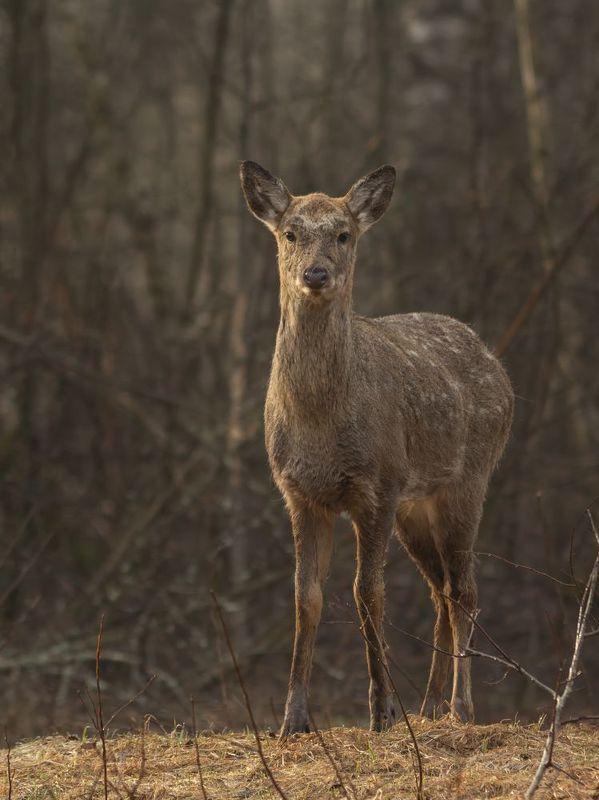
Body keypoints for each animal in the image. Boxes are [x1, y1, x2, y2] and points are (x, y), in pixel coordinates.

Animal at [239, 160, 513, 739]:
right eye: (290, 233)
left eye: (343, 234)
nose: (316, 274)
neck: (321, 423)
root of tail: (494, 362)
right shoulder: (299, 493)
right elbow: (306, 597)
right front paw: (292, 719)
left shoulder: (377, 486)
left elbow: (368, 593)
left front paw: (382, 711)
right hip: (416, 505)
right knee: (440, 590)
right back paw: (429, 705)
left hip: (469, 478)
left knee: (465, 590)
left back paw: (461, 707)